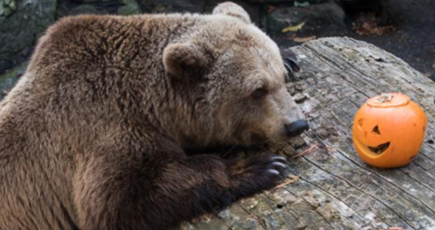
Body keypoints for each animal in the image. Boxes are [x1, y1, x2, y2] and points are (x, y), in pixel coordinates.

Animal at [0, 2, 306, 230]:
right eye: (258, 90)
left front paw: (290, 56)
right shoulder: (98, 125)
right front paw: (258, 165)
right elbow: (118, 202)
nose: (296, 124)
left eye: (278, 78)